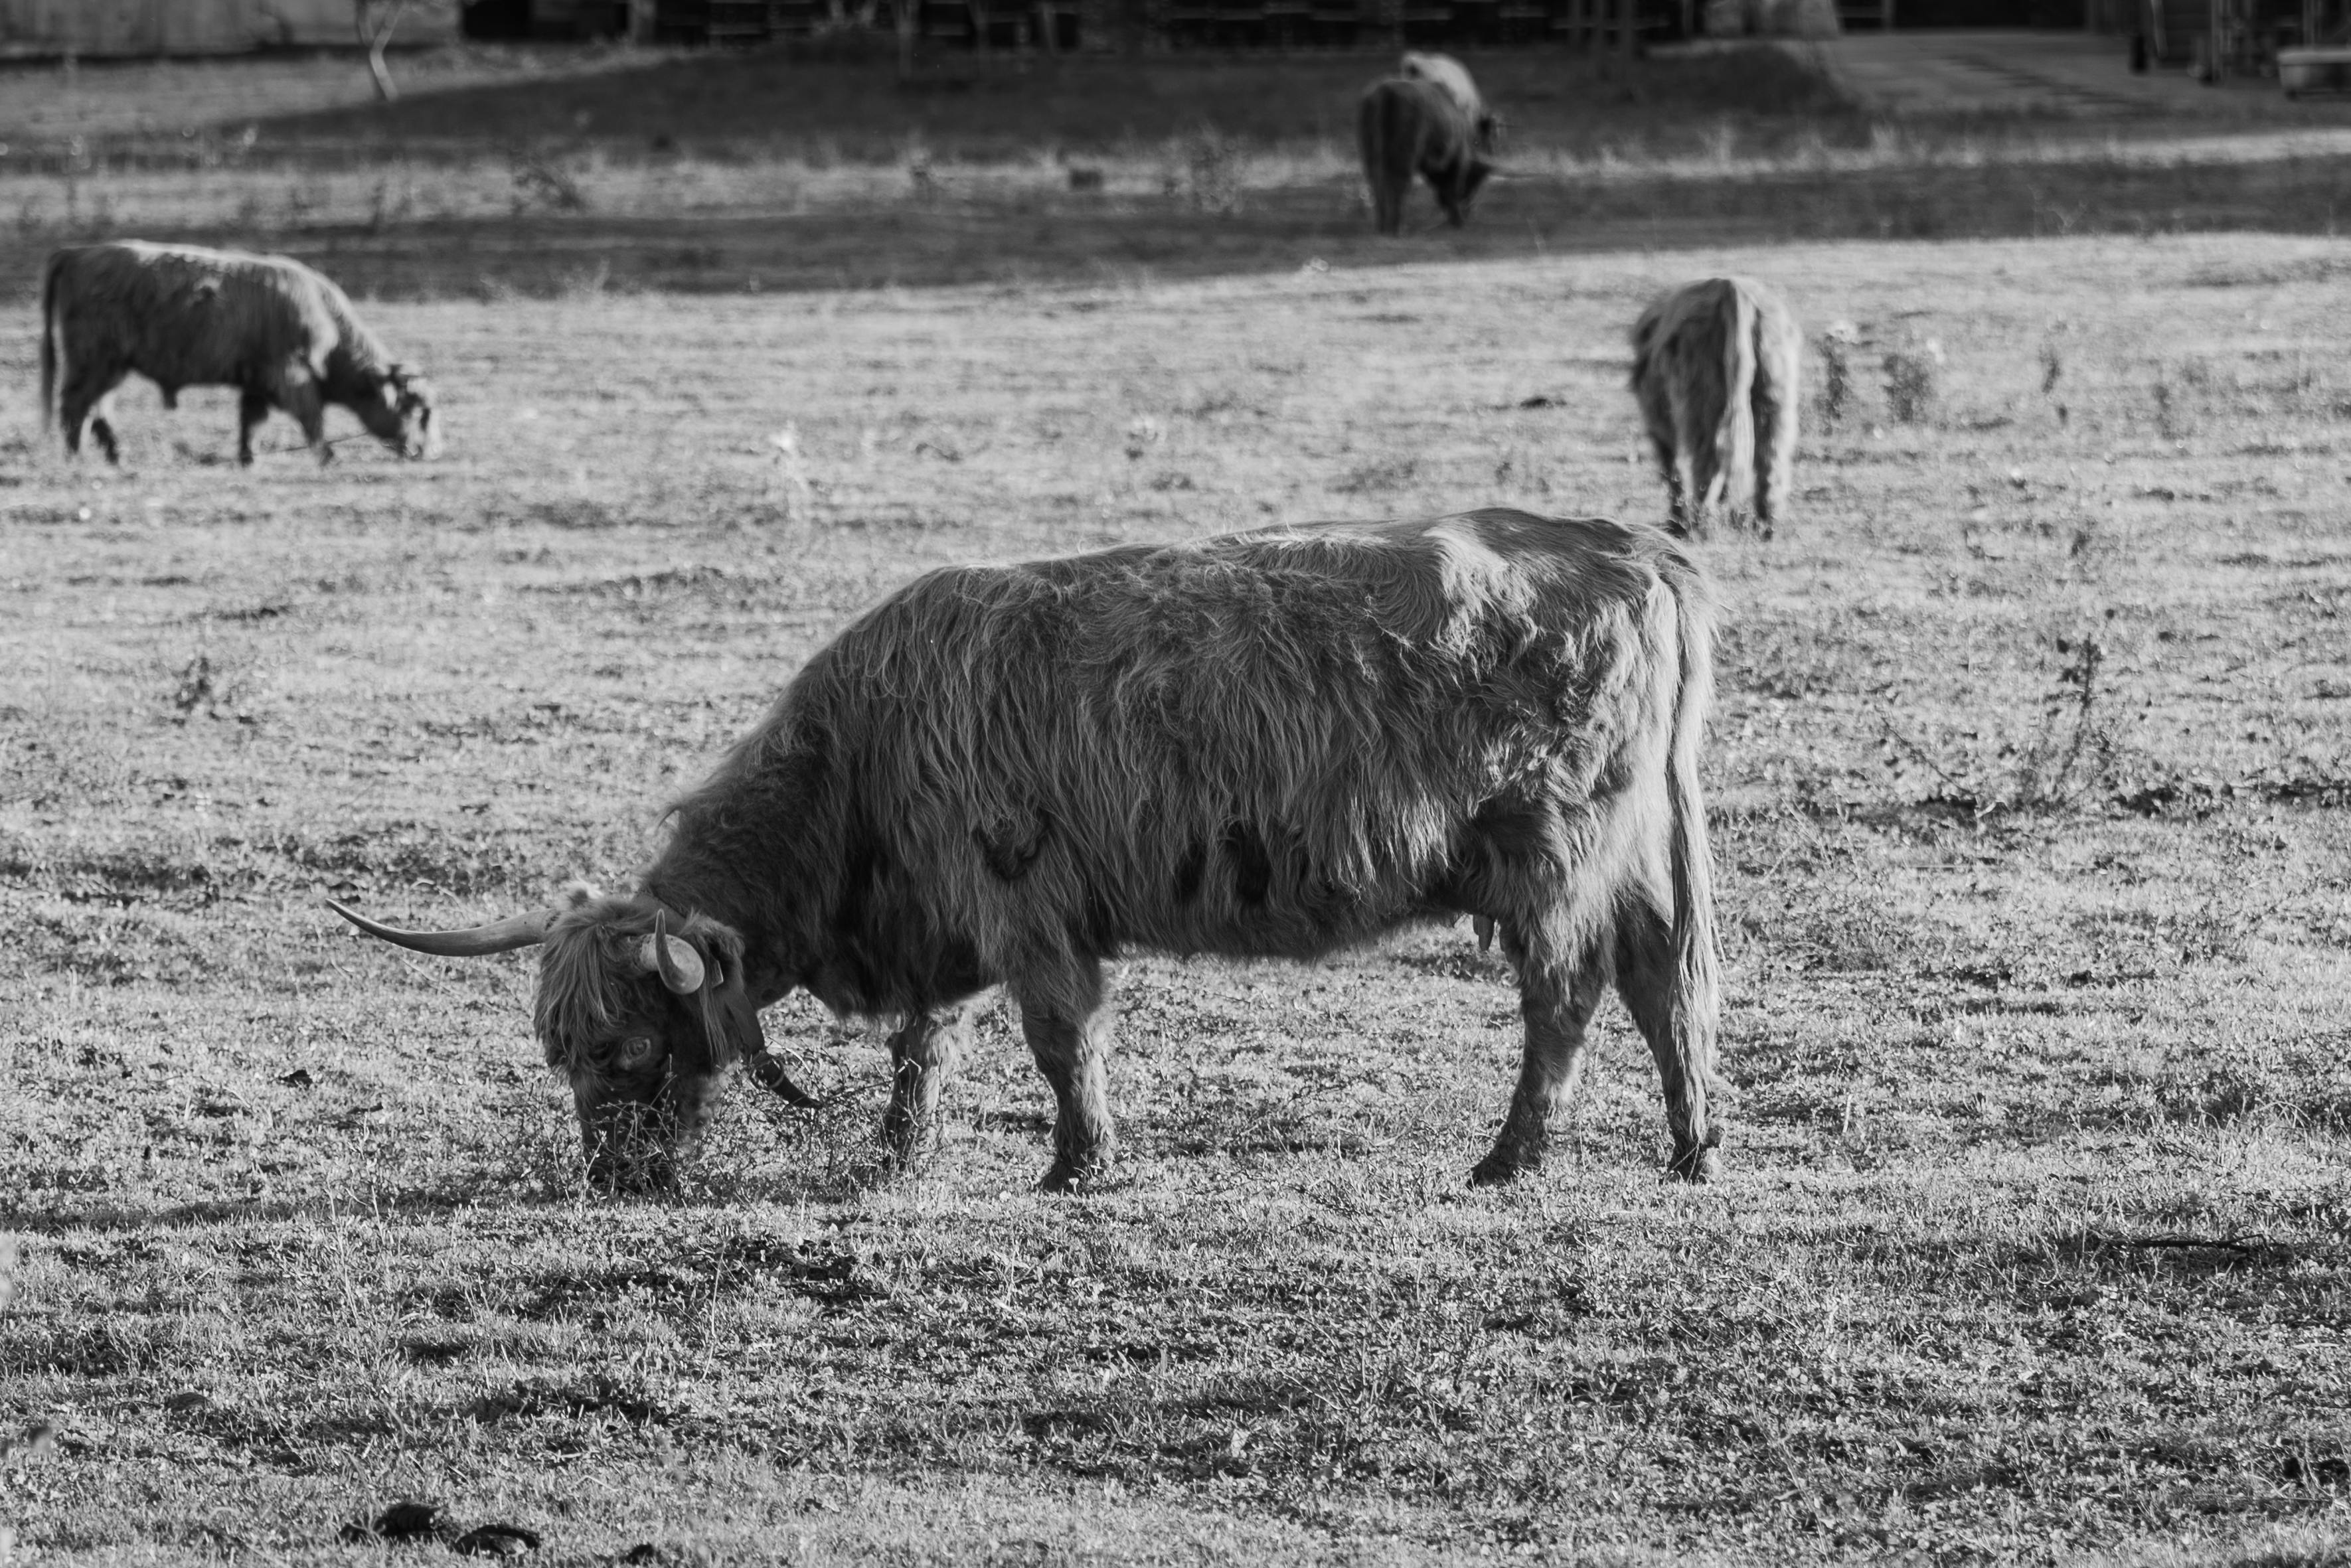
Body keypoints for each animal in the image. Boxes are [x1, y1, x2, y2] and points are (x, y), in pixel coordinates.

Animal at [42, 240, 442, 465]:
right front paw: (328, 456)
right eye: (418, 410)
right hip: (93, 360)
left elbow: (251, 420)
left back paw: (115, 455)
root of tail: (78, 253)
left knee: (97, 409)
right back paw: (75, 456)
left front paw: (248, 457)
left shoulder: (257, 380)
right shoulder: (291, 375)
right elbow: (311, 417)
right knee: (76, 407)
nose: (429, 451)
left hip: (109, 366)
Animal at [1354, 76, 1495, 236]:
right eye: (1473, 180)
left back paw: (1382, 227)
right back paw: (1398, 228)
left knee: (1378, 183)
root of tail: (1386, 89)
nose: (1469, 210)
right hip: (1405, 154)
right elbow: (1451, 189)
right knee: (1399, 183)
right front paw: (1458, 222)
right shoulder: (1458, 158)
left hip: (1370, 154)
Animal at [1636, 272, 1796, 536]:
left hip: (1702, 390)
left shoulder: (1657, 413)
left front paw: (1677, 521)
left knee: (1708, 456)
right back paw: (1767, 525)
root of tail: (1729, 287)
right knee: (1770, 454)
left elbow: (1672, 465)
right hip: (1775, 387)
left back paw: (1701, 523)